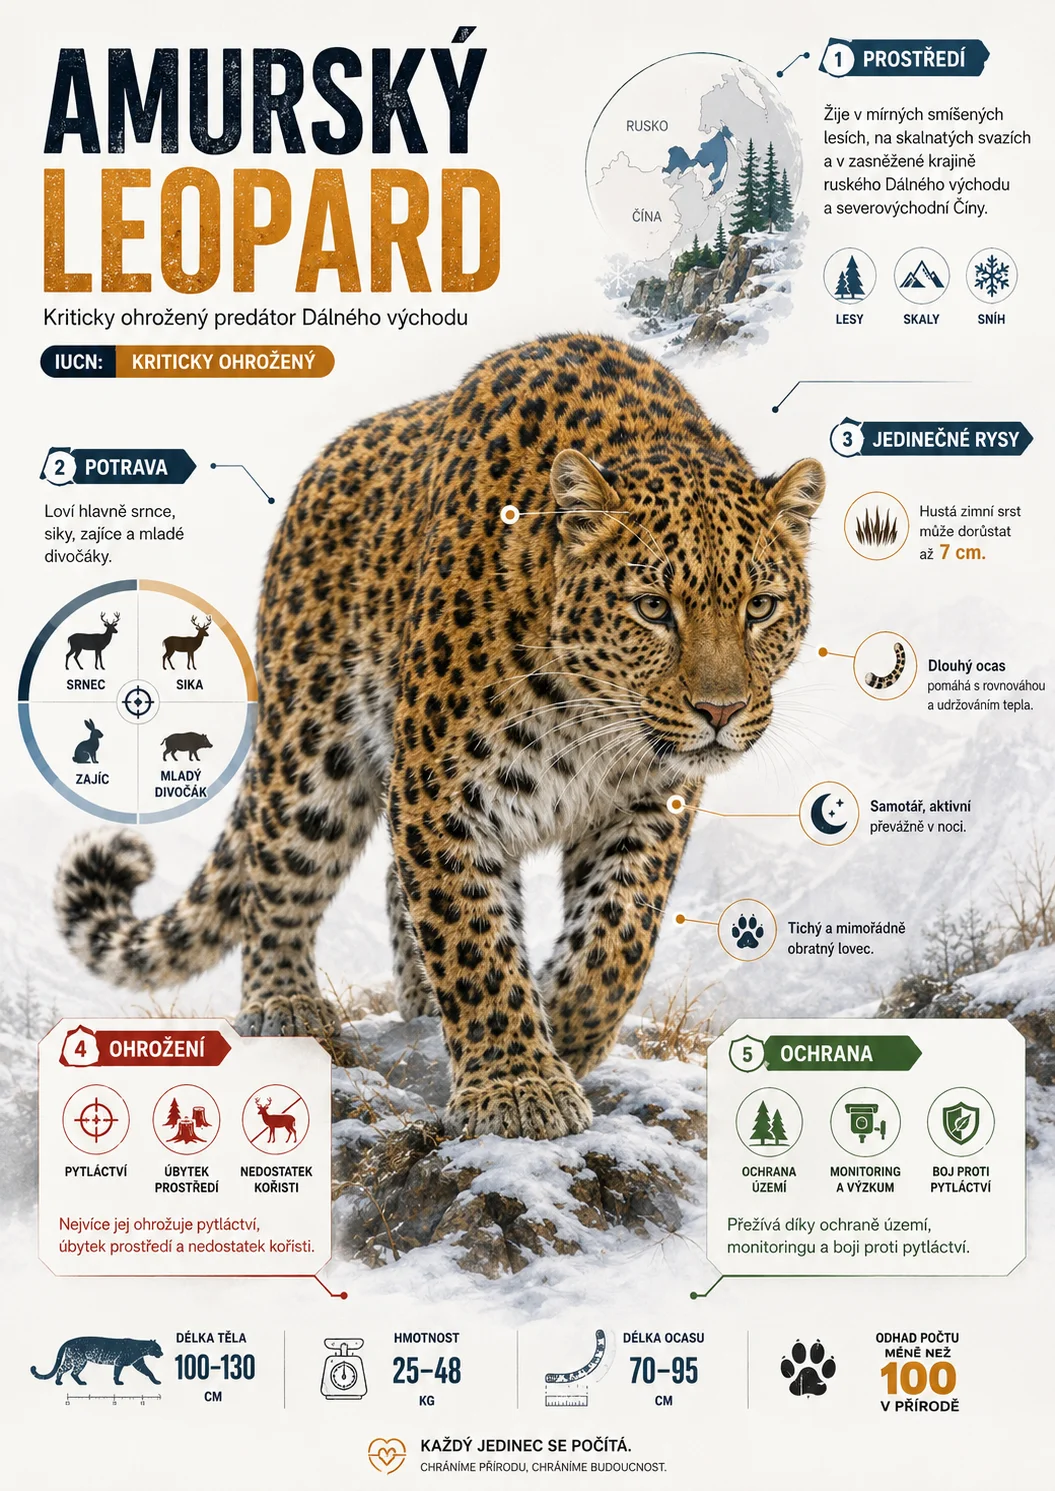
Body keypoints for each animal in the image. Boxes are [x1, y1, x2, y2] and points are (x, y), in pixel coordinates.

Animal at [55, 333, 824, 1141]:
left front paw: (566, 1024)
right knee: (278, 870)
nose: (720, 710)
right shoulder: (441, 789)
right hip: (313, 751)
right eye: (652, 608)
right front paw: (517, 1084)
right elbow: (473, 938)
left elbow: (617, 935)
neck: (590, 719)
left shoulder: (650, 803)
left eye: (761, 607)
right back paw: (282, 1001)